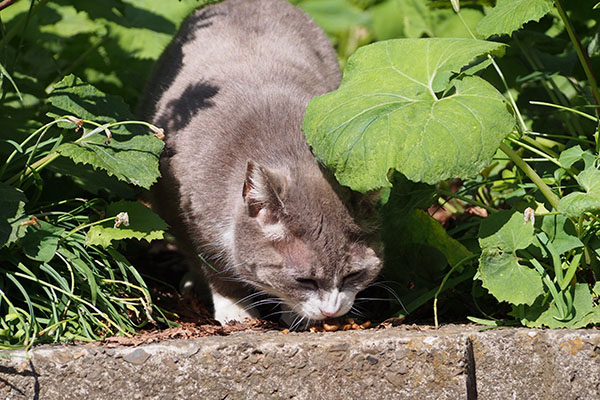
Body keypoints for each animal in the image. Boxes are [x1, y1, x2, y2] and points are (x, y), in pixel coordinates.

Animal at [139, 0, 384, 326]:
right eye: (305, 281)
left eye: (353, 275)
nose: (331, 311)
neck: (286, 148)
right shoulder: (196, 219)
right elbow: (217, 269)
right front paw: (236, 308)